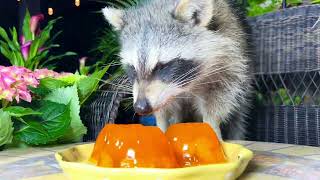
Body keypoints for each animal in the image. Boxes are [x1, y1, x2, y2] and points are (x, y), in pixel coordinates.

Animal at [102, 0, 252, 139]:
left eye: (161, 66)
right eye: (133, 68)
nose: (140, 107)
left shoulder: (229, 64)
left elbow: (217, 101)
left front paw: (212, 125)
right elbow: (163, 111)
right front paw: (161, 126)